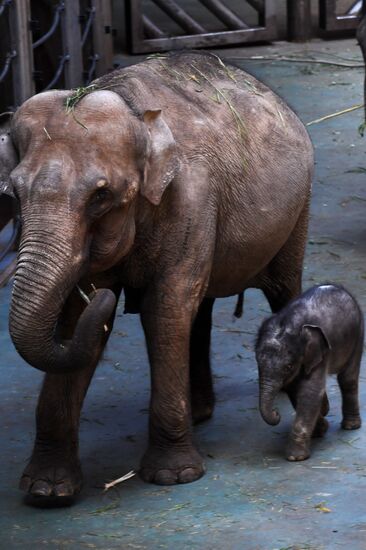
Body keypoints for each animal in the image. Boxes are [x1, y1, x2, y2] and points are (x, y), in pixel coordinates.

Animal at [0, 54, 314, 502]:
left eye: (101, 196)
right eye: (15, 193)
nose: (111, 299)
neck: (135, 112)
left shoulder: (192, 197)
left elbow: (164, 308)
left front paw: (174, 476)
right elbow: (79, 321)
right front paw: (47, 490)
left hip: (297, 210)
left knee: (280, 288)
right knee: (199, 308)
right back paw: (199, 412)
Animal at [256, 284, 364, 462]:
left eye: (288, 366)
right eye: (258, 362)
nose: (277, 413)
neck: (288, 322)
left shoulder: (320, 352)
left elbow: (309, 392)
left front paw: (295, 457)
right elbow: (295, 390)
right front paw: (320, 431)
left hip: (358, 334)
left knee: (347, 377)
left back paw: (351, 426)